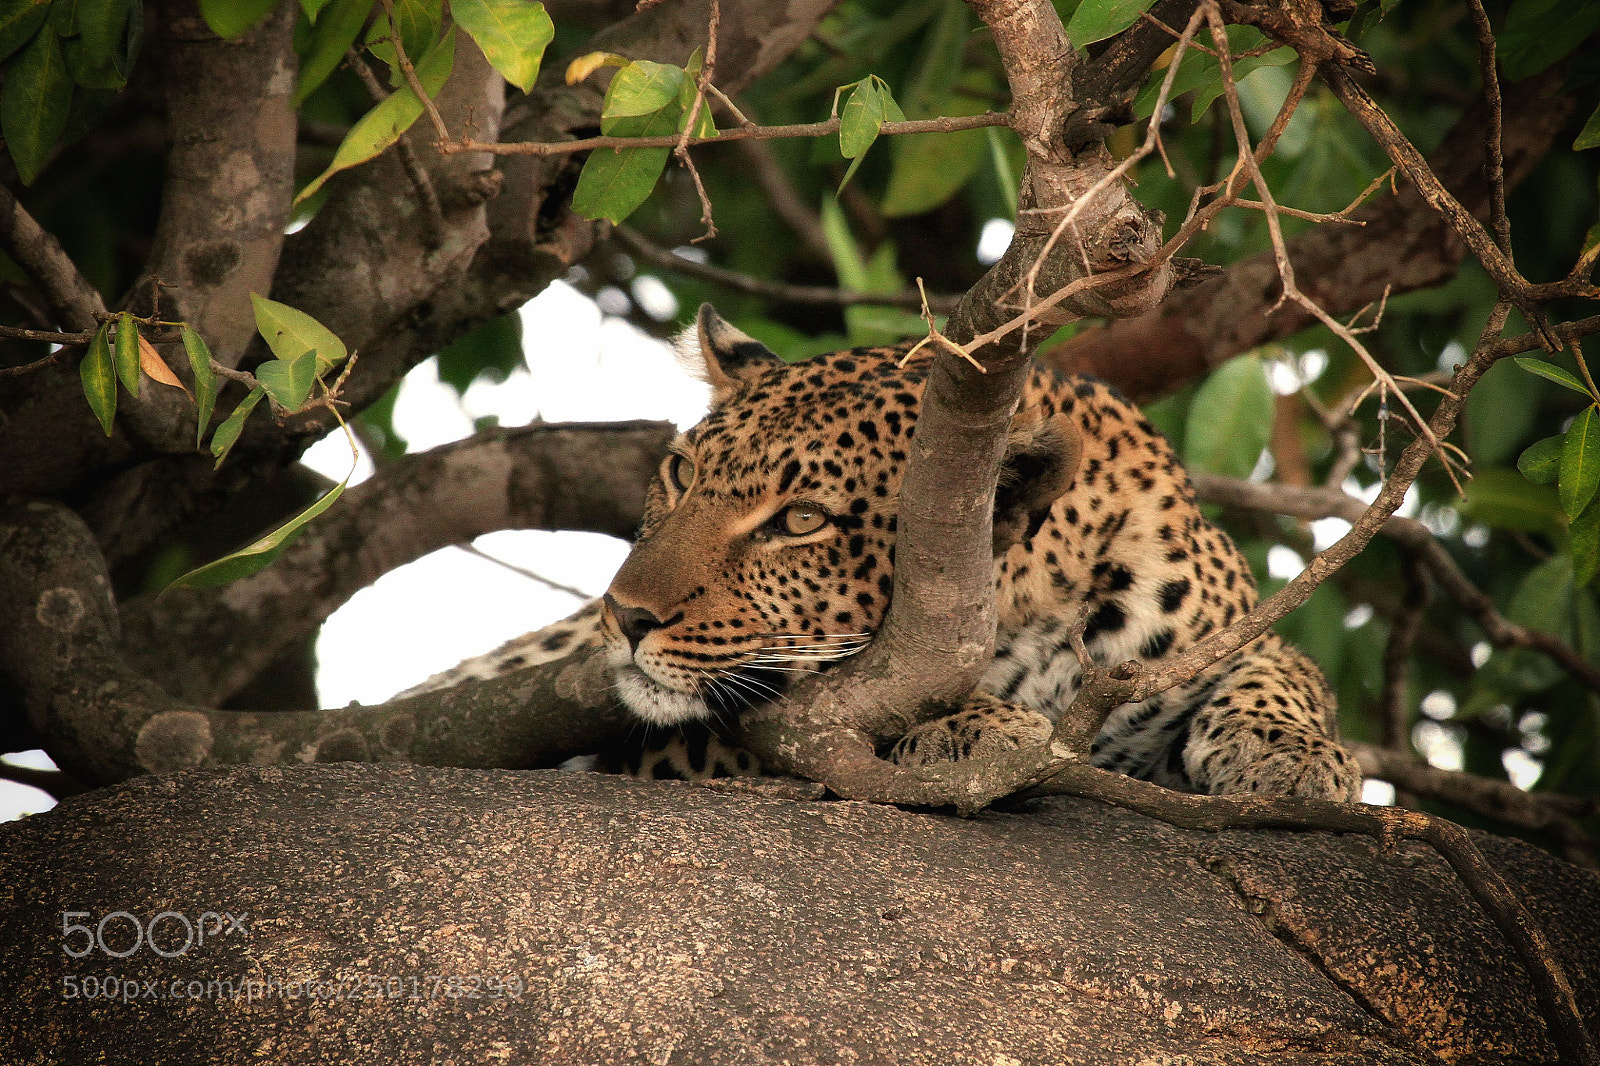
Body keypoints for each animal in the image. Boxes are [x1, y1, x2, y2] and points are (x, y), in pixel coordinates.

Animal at [408, 304, 1361, 800]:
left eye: (800, 521)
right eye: (681, 474)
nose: (625, 615)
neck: (1040, 617)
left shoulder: (1234, 631)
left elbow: (1277, 673)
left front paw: (1292, 757)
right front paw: (971, 728)